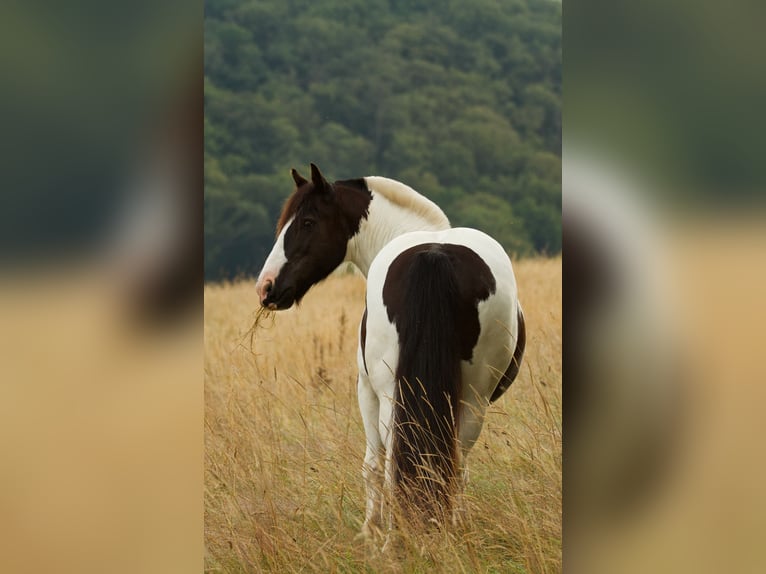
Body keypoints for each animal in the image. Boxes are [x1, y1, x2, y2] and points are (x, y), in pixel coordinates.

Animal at [255, 164, 524, 544]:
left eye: (308, 222)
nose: (266, 287)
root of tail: (434, 253)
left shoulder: (365, 390)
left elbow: (372, 464)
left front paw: (371, 530)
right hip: (472, 399)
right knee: (454, 464)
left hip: (394, 396)